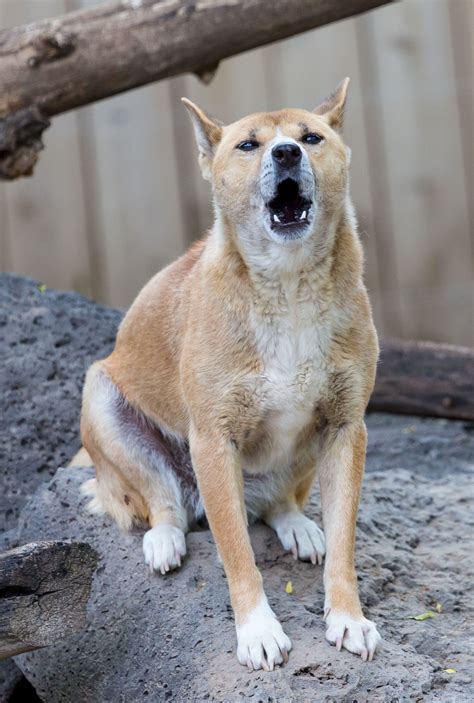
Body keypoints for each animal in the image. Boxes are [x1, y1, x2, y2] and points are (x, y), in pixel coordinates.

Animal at [79, 78, 380, 672]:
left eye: (311, 138)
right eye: (248, 145)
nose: (285, 154)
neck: (288, 287)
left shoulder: (346, 428)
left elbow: (344, 546)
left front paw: (347, 618)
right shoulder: (214, 441)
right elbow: (238, 555)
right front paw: (258, 630)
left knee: (275, 504)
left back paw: (297, 524)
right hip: (101, 396)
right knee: (165, 501)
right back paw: (165, 538)